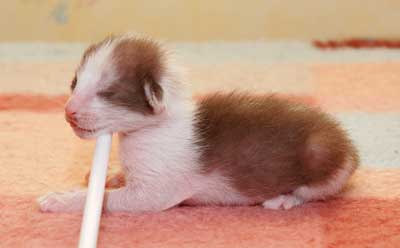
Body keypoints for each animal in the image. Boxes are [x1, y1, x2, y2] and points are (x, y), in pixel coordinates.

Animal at [38, 34, 360, 212]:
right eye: (74, 83)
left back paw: (283, 200)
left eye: (107, 93)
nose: (68, 112)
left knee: (311, 192)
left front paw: (61, 200)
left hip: (321, 155)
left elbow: (107, 199)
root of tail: (349, 147)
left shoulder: (154, 193)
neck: (150, 130)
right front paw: (113, 174)